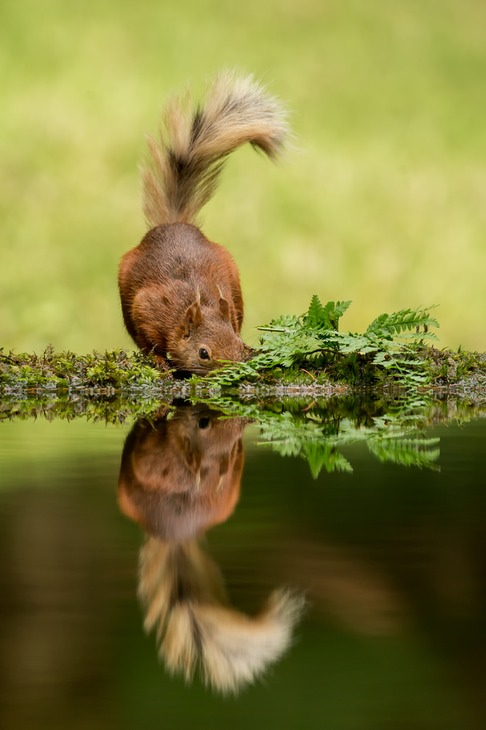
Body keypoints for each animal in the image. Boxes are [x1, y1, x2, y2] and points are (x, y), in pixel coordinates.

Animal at [118, 71, 286, 372]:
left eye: (238, 345)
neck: (194, 303)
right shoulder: (146, 308)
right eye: (203, 353)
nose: (233, 369)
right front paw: (160, 359)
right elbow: (150, 343)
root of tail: (172, 224)